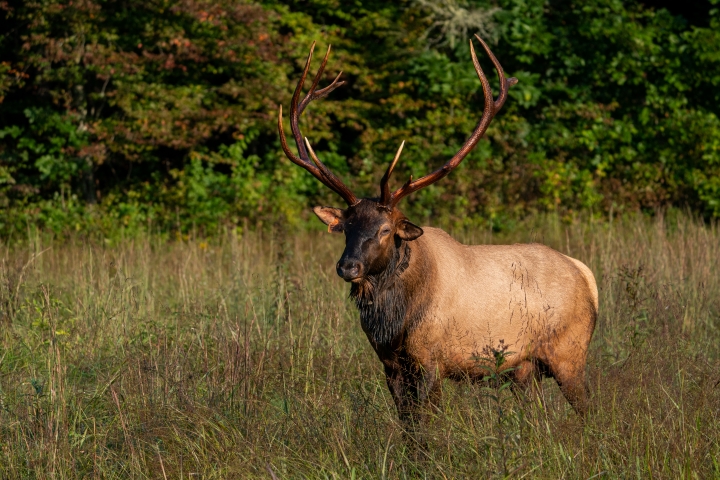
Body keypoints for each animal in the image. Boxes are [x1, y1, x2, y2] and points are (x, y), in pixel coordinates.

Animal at [277, 35, 598, 423]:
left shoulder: (430, 357)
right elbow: (409, 425)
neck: (394, 323)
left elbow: (428, 423)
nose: (348, 266)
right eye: (346, 227)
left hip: (570, 352)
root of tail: (587, 276)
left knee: (588, 410)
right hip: (525, 368)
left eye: (386, 229)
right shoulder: (390, 363)